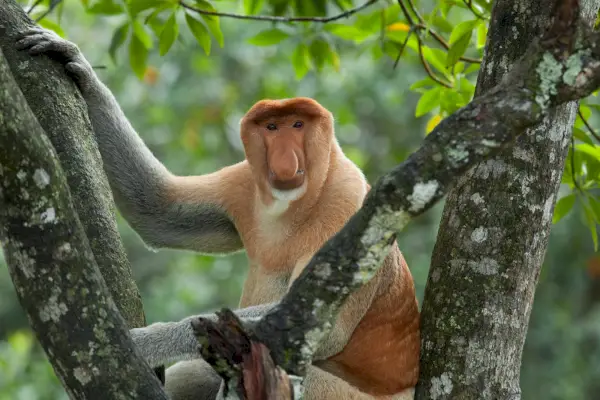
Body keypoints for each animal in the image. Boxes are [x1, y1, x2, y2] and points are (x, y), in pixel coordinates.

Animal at [18, 26, 420, 398]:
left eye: (298, 125)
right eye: (271, 127)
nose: (285, 161)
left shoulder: (347, 201)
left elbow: (323, 327)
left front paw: (141, 342)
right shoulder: (243, 183)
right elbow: (160, 210)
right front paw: (78, 66)